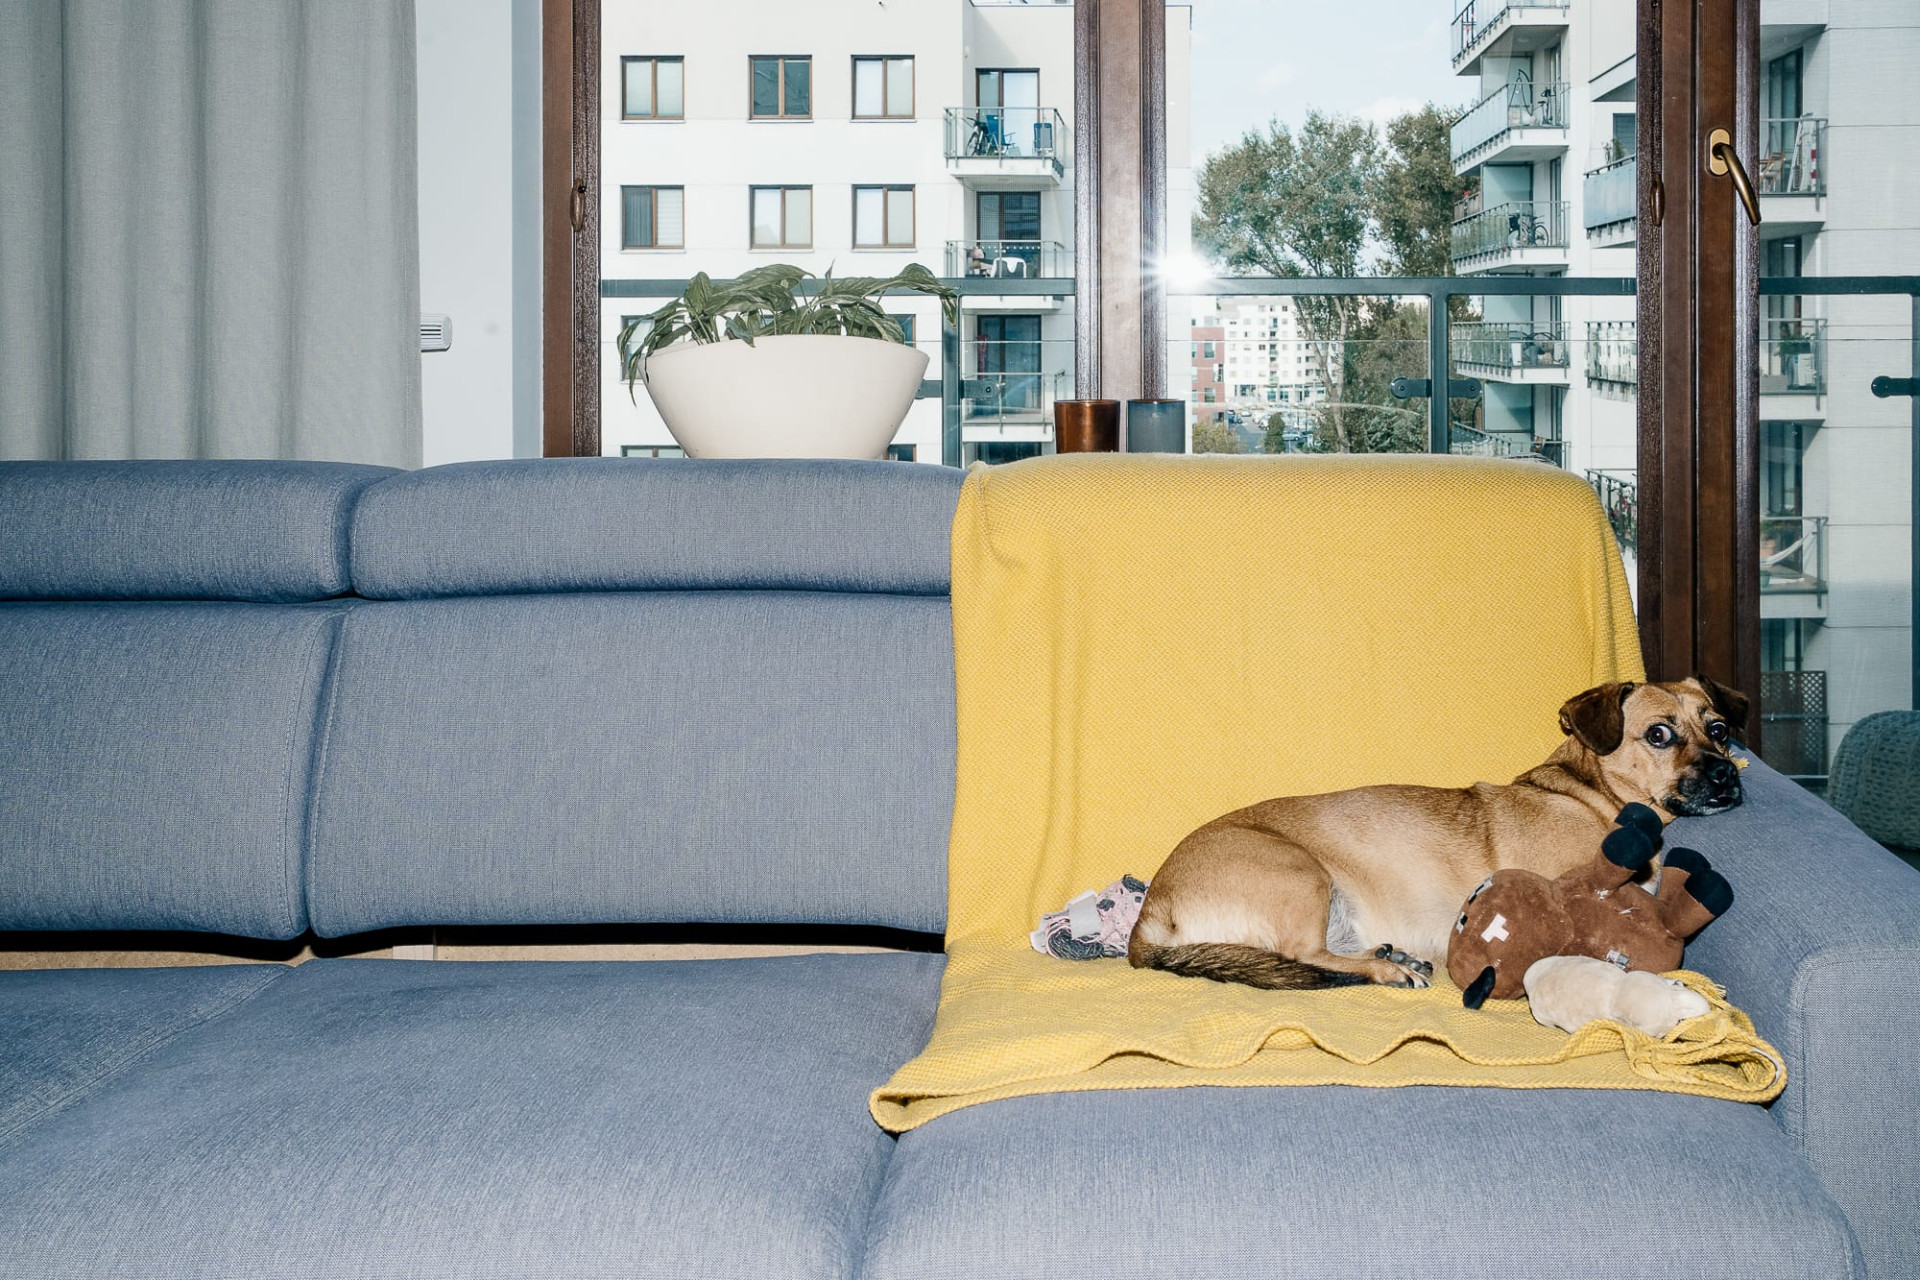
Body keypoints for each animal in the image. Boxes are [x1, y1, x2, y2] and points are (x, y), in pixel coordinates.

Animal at [1127, 676, 1748, 991]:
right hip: (1301, 872)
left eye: (1718, 729)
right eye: (1659, 734)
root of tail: (1150, 912)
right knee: (1303, 952)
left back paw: (1390, 952)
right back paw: (1387, 967)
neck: (1589, 796)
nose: (1726, 774)